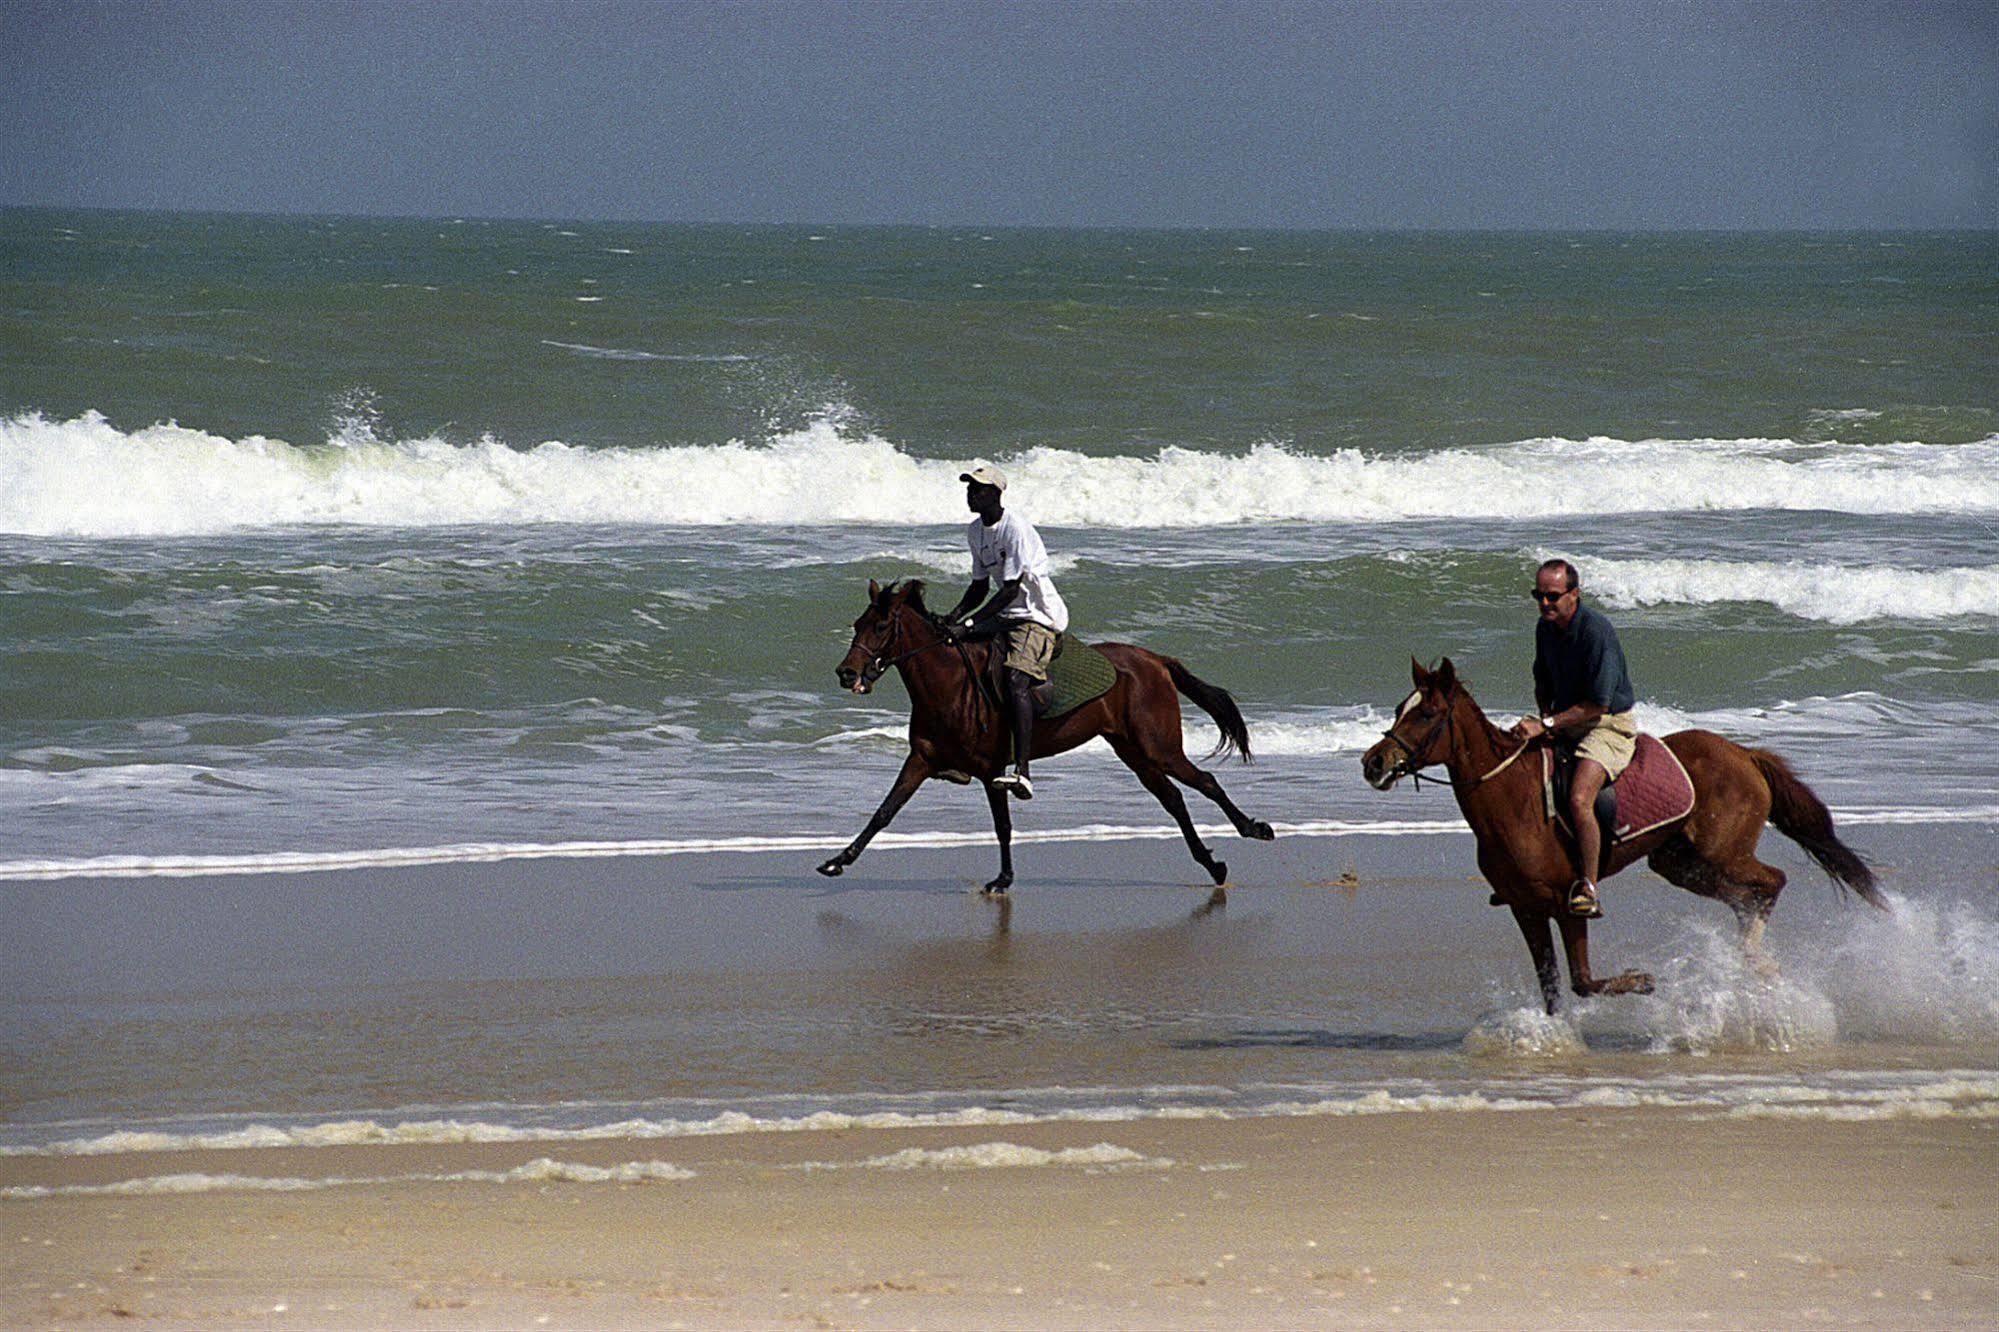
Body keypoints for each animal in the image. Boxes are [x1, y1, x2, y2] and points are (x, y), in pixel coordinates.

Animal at [819, 580, 1271, 892]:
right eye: (858, 624)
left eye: (881, 625)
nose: (845, 672)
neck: (949, 685)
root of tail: (1155, 660)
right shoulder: (921, 760)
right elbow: (884, 812)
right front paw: (838, 861)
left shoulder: (991, 771)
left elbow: (1003, 825)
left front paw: (1002, 880)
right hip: (1134, 752)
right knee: (1174, 798)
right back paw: (1213, 865)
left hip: (1158, 748)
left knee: (1205, 782)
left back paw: (1254, 829)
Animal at [1359, 660, 1871, 1012]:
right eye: (1399, 709)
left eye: (1427, 714)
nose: (1373, 763)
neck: (1510, 800)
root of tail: (1744, 753)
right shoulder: (1526, 909)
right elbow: (1552, 988)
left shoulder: (1565, 904)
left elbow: (1582, 981)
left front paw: (1642, 981)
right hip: (1680, 863)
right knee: (1746, 895)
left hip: (1721, 851)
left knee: (1771, 881)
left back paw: (1752, 956)